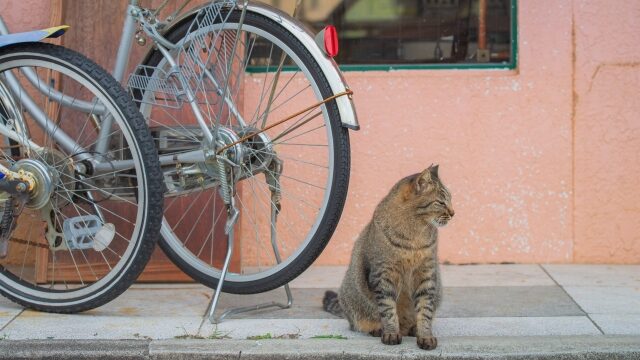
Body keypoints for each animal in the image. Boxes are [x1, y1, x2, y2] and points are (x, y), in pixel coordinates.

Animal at [322, 165, 452, 348]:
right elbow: (389, 310)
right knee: (360, 322)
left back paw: (412, 329)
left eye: (450, 200)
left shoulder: (426, 275)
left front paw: (425, 335)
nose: (453, 213)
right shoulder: (383, 275)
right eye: (441, 202)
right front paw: (391, 333)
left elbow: (425, 310)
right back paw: (378, 329)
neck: (416, 234)